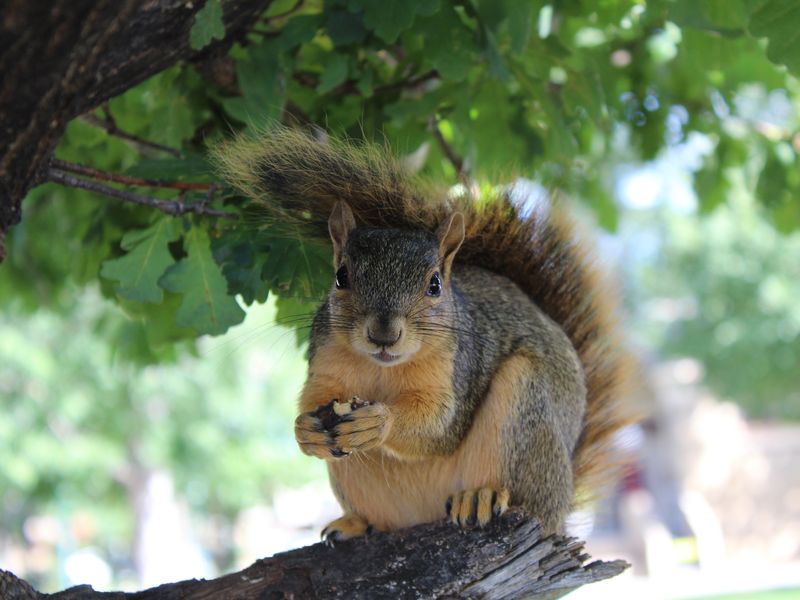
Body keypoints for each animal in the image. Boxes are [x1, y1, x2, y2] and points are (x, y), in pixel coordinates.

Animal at [213, 127, 633, 541]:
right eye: (340, 276)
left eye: (435, 285)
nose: (383, 334)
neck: (382, 370)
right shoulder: (326, 362)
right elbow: (314, 398)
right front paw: (305, 431)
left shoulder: (458, 367)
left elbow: (440, 425)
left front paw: (379, 422)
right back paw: (355, 524)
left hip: (527, 414)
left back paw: (480, 496)